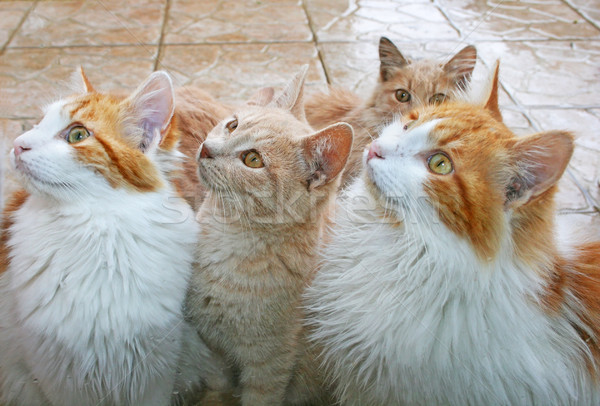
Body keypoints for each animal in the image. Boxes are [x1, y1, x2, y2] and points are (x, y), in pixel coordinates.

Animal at [0, 70, 227, 406]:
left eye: (77, 135)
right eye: (38, 123)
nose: (17, 144)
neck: (97, 233)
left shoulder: (154, 368)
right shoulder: (62, 376)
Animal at [184, 66, 352, 406]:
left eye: (252, 159)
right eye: (232, 125)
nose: (207, 149)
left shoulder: (271, 364)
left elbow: (259, 396)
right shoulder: (211, 346)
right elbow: (218, 383)